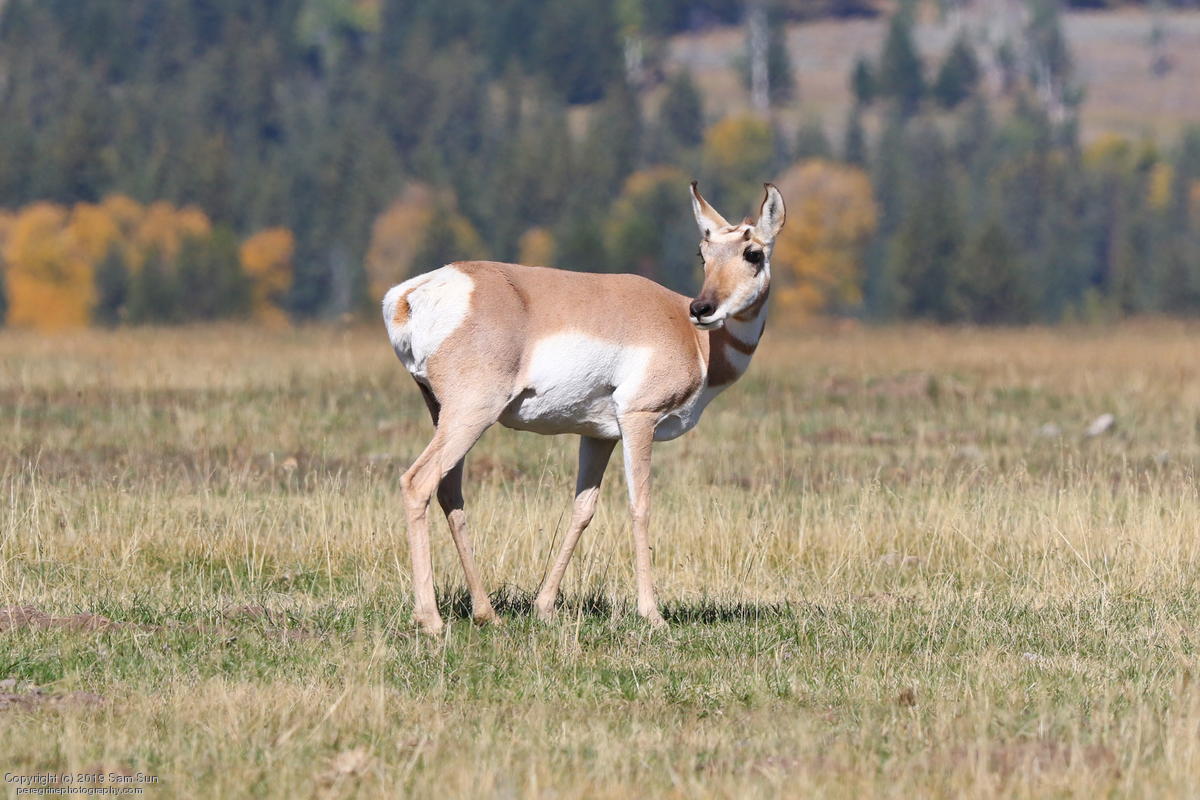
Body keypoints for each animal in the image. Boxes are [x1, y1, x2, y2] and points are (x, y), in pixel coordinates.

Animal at [382, 182, 785, 635]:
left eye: (753, 253)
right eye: (704, 254)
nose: (702, 309)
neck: (692, 338)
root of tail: (413, 294)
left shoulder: (598, 436)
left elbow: (582, 510)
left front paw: (544, 606)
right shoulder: (639, 420)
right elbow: (640, 505)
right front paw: (653, 614)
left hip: (442, 412)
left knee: (449, 491)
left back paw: (487, 612)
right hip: (471, 414)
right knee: (418, 482)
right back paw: (432, 620)